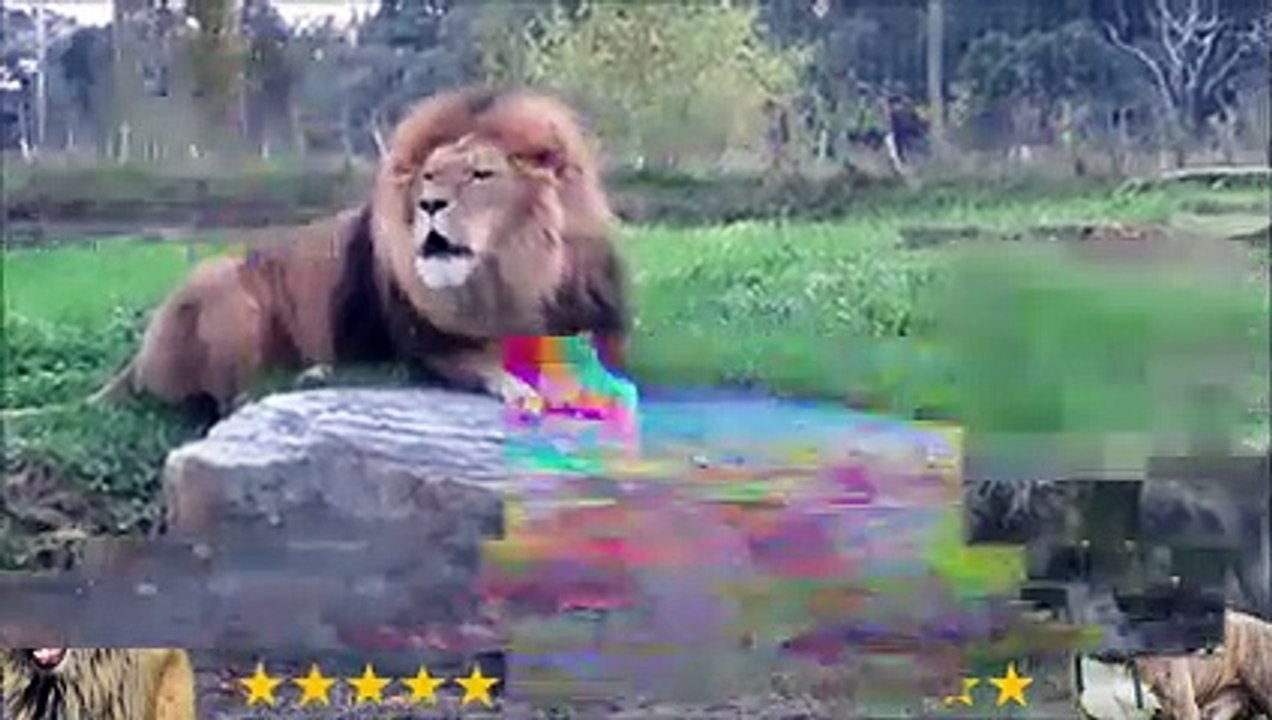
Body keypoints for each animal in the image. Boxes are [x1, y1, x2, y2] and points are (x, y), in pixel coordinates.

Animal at [83, 87, 629, 424]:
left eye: (481, 175)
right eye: (430, 176)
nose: (430, 204)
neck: (511, 275)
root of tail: (141, 355)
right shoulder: (430, 348)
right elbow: (489, 367)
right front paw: (523, 390)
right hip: (225, 286)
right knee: (228, 400)